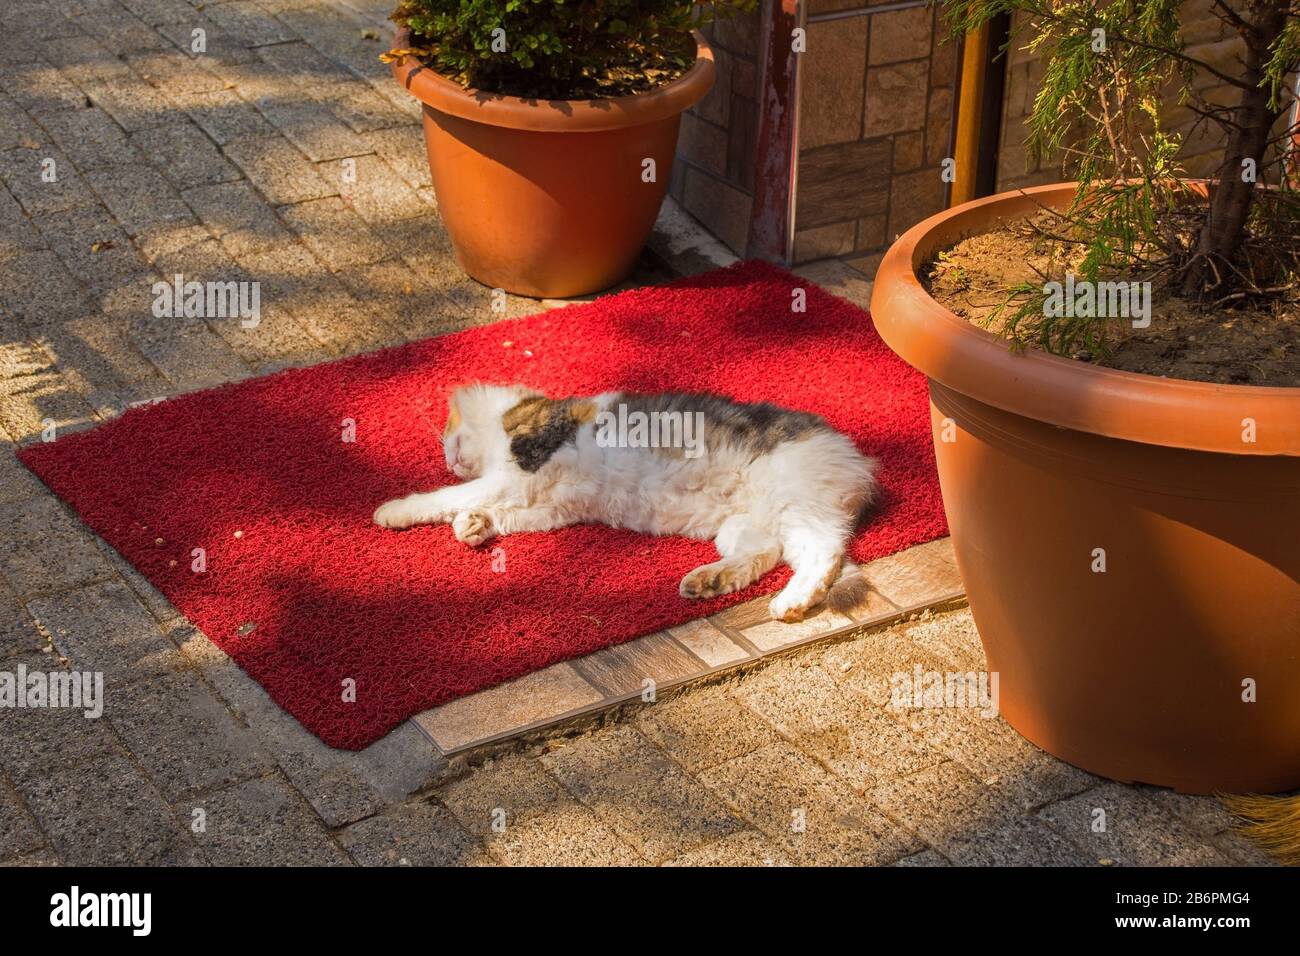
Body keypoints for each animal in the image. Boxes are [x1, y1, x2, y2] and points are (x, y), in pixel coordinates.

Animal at [377, 385, 883, 624]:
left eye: (448, 432)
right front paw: (473, 526)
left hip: (791, 502)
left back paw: (790, 603)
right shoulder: (549, 506)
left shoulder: (518, 469)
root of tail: (856, 462)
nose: (448, 457)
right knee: (768, 554)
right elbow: (500, 514)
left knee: (823, 555)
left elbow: (449, 496)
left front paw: (394, 510)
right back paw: (709, 581)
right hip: (744, 526)